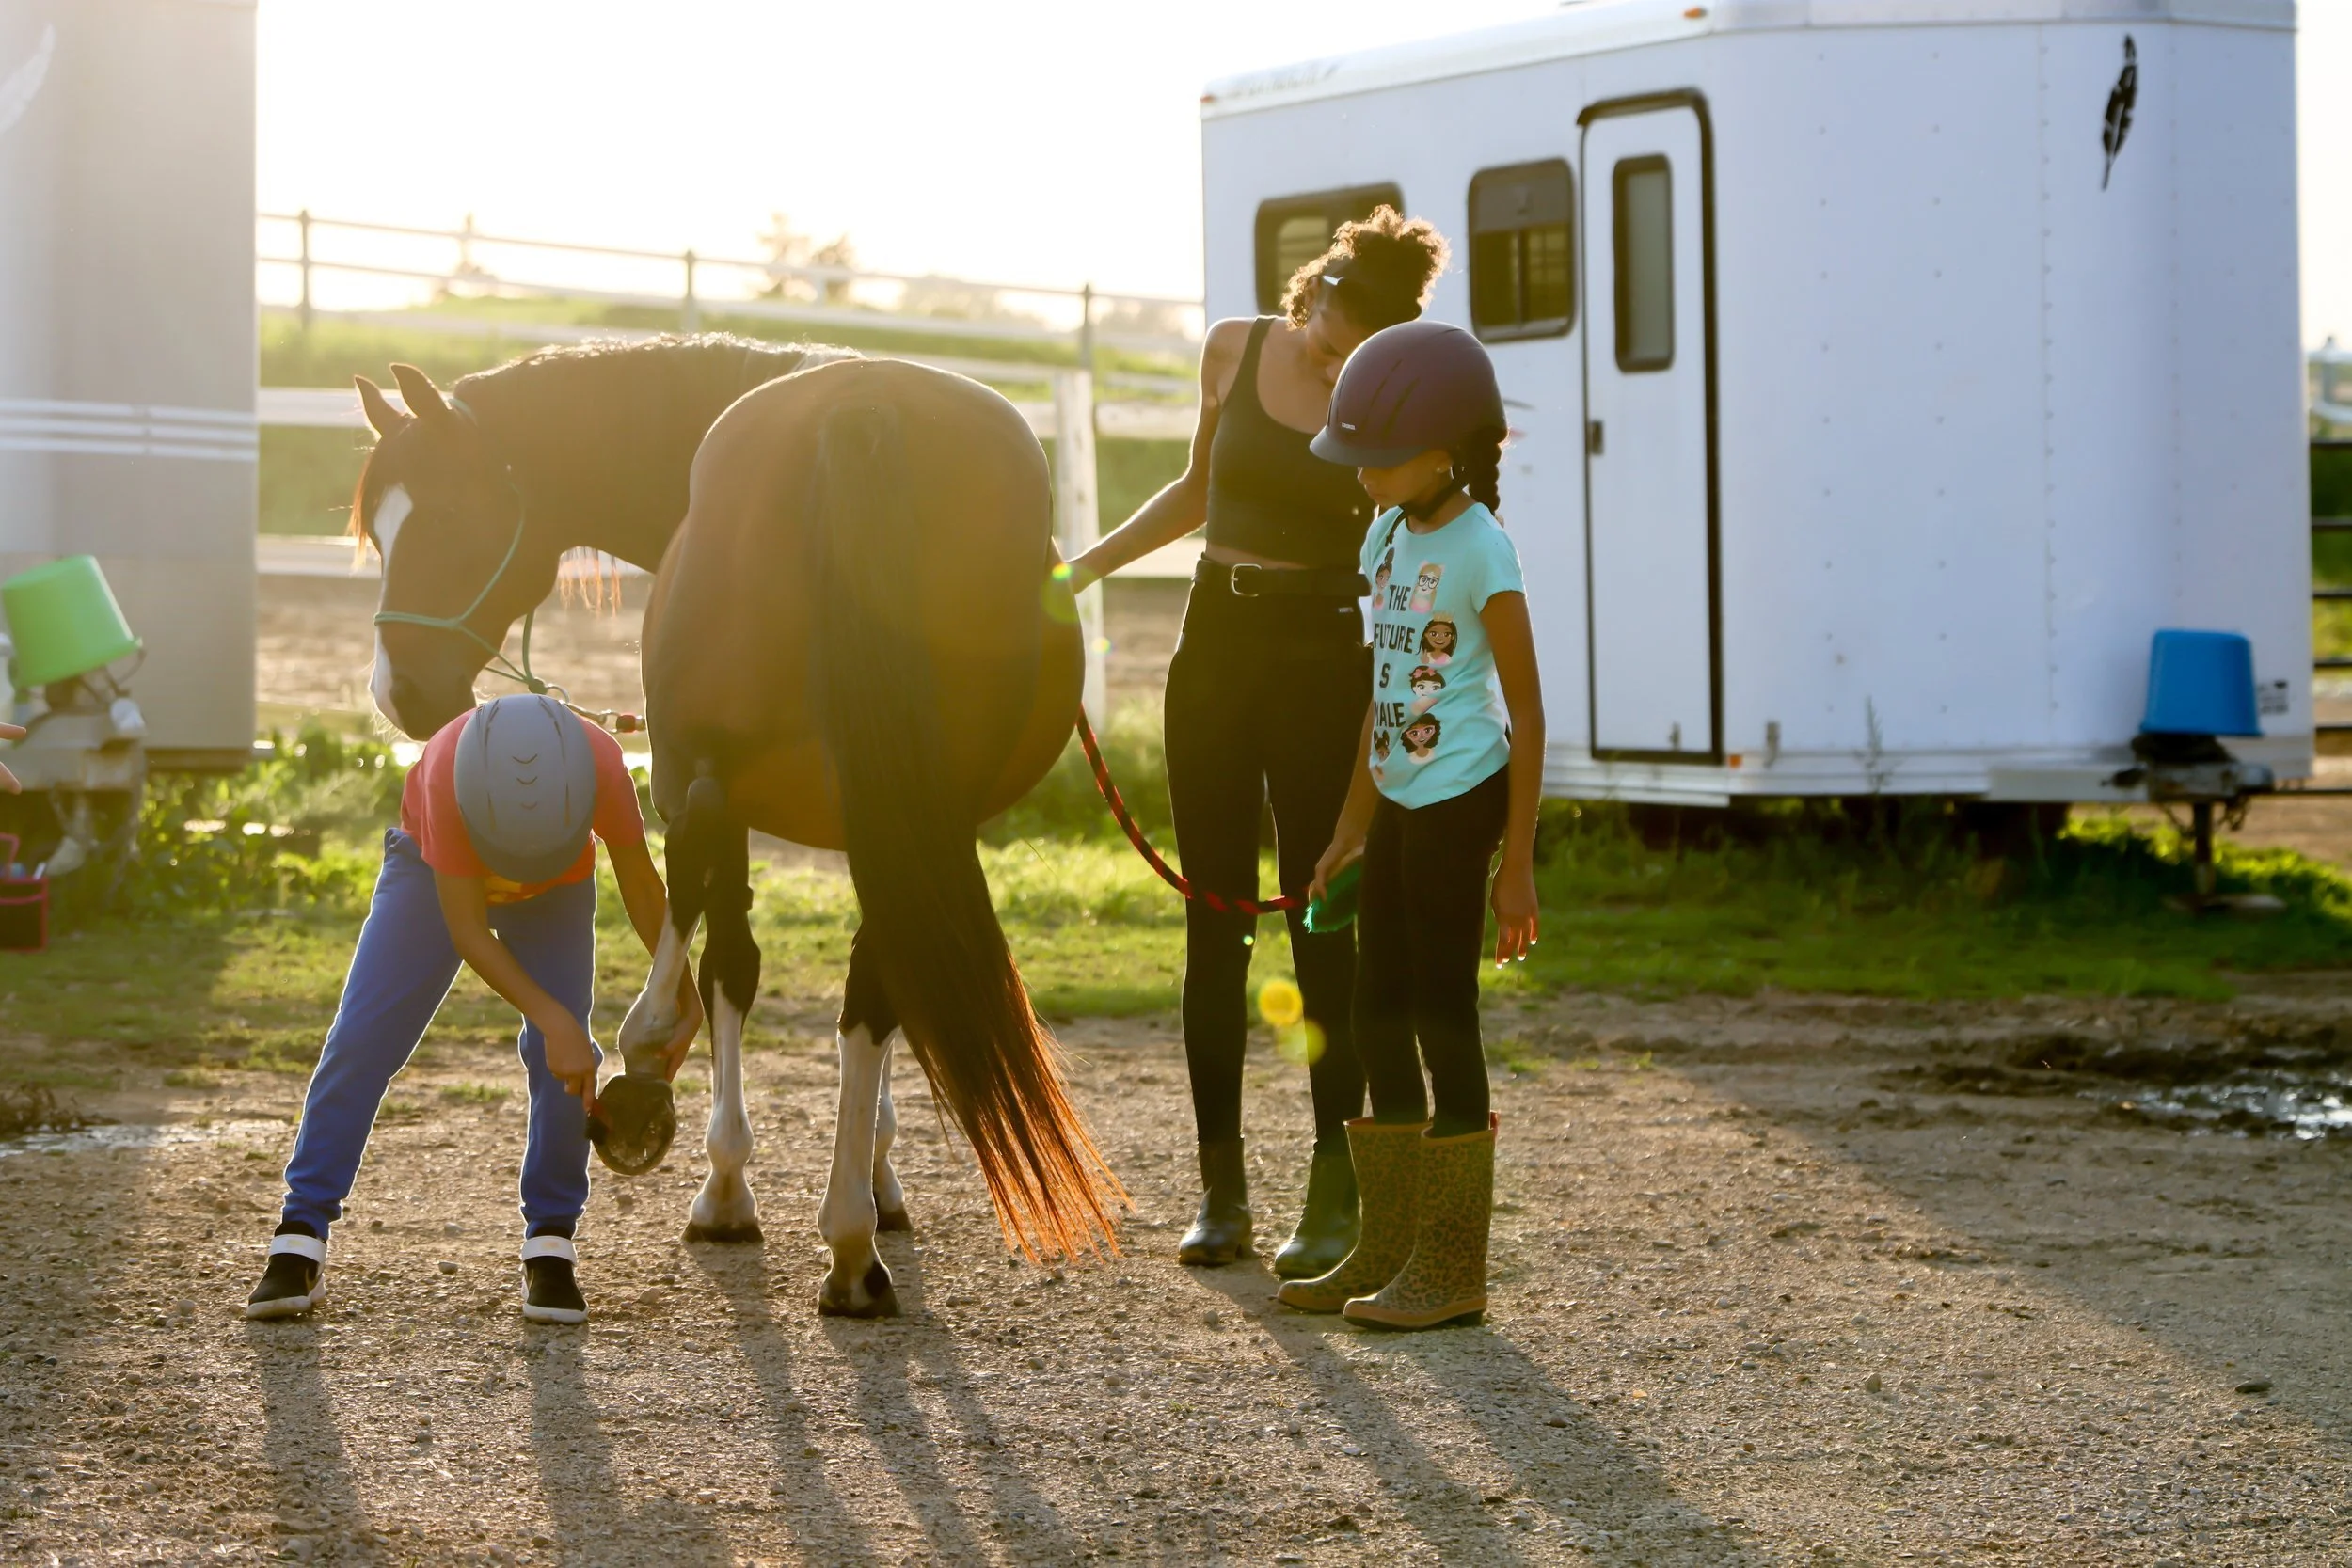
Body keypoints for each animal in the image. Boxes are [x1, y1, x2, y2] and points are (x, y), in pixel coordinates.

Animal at [351, 336, 1123, 1314]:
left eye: (448, 516)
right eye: (379, 532)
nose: (401, 695)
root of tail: (864, 409)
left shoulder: (713, 789)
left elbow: (723, 965)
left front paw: (723, 1182)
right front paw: (876, 1175)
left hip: (710, 777)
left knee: (719, 922)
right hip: (908, 806)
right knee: (874, 984)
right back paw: (852, 1243)